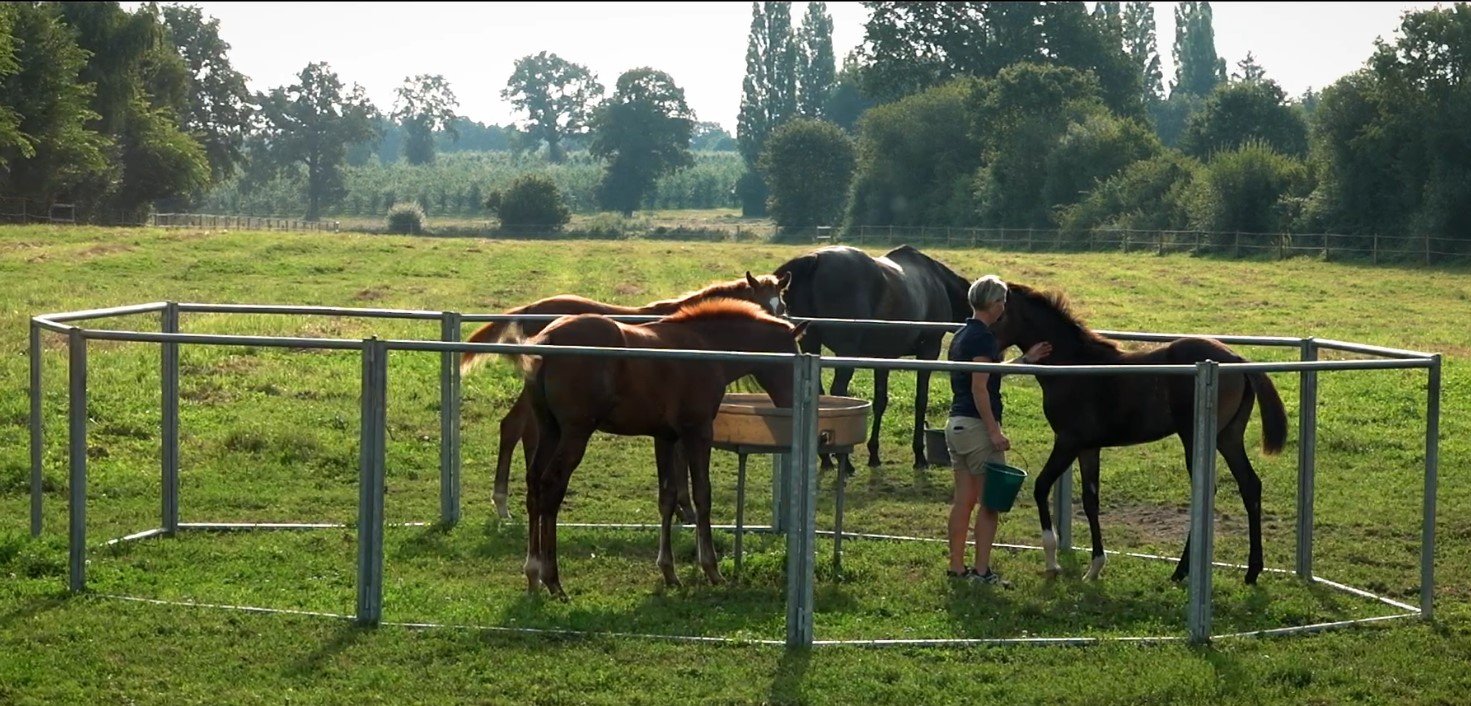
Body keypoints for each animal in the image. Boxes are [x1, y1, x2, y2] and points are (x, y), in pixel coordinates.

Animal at [459, 271, 791, 520]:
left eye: (782, 306)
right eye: (763, 306)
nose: (781, 329)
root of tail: (531, 310)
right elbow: (681, 457)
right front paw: (685, 509)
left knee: (521, 429)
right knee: (515, 428)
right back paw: (503, 504)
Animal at [498, 298, 809, 599]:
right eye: (790, 359)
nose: (794, 402)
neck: (706, 347)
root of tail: (547, 339)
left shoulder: (665, 437)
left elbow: (667, 498)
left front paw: (669, 572)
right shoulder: (697, 432)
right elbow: (702, 494)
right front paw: (711, 569)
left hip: (550, 430)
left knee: (534, 485)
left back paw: (533, 574)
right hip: (575, 433)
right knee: (551, 487)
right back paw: (553, 581)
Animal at [772, 244, 971, 469]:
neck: (937, 281)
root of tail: (814, 259)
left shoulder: (883, 357)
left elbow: (880, 401)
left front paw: (874, 454)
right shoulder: (929, 351)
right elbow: (921, 400)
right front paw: (920, 456)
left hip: (811, 345)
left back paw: (826, 459)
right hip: (846, 352)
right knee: (838, 392)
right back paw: (844, 462)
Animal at [987, 282, 1289, 585]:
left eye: (999, 316)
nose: (989, 351)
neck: (1073, 364)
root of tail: (1237, 359)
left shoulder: (1068, 441)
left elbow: (1041, 487)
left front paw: (1052, 562)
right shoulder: (1088, 447)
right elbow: (1090, 500)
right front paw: (1095, 567)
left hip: (1195, 438)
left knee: (1207, 491)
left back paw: (1181, 571)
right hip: (1228, 437)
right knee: (1250, 485)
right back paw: (1251, 571)